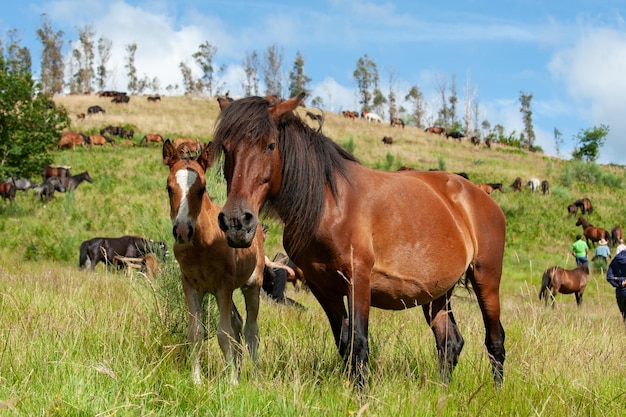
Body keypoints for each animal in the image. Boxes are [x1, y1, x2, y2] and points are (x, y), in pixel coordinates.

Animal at [162, 140, 262, 384]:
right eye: (169, 188)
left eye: (202, 189)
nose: (182, 231)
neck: (201, 245)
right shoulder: (191, 285)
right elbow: (197, 333)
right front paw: (197, 381)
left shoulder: (222, 286)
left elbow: (223, 333)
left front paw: (231, 384)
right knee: (238, 323)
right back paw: (237, 371)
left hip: (252, 285)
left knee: (251, 330)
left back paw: (255, 377)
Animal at [212, 93, 504, 386]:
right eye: (226, 147)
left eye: (270, 145)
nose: (237, 221)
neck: (329, 205)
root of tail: (481, 195)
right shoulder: (322, 287)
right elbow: (344, 342)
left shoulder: (358, 279)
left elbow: (359, 342)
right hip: (438, 293)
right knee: (449, 342)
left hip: (486, 279)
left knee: (495, 340)